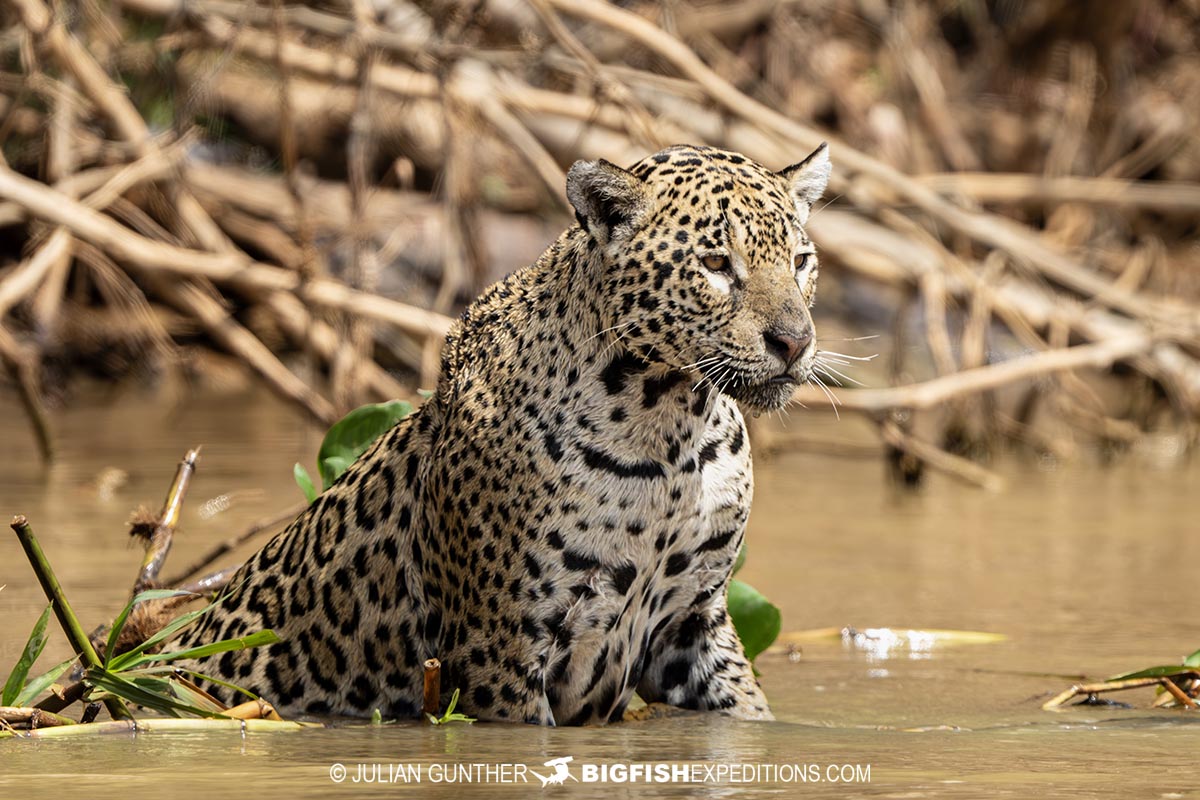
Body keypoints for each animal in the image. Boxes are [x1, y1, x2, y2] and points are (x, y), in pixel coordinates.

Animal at [177, 143, 832, 725]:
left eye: (800, 261)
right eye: (716, 265)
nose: (795, 341)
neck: (672, 431)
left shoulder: (693, 620)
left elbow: (745, 714)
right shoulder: (501, 646)